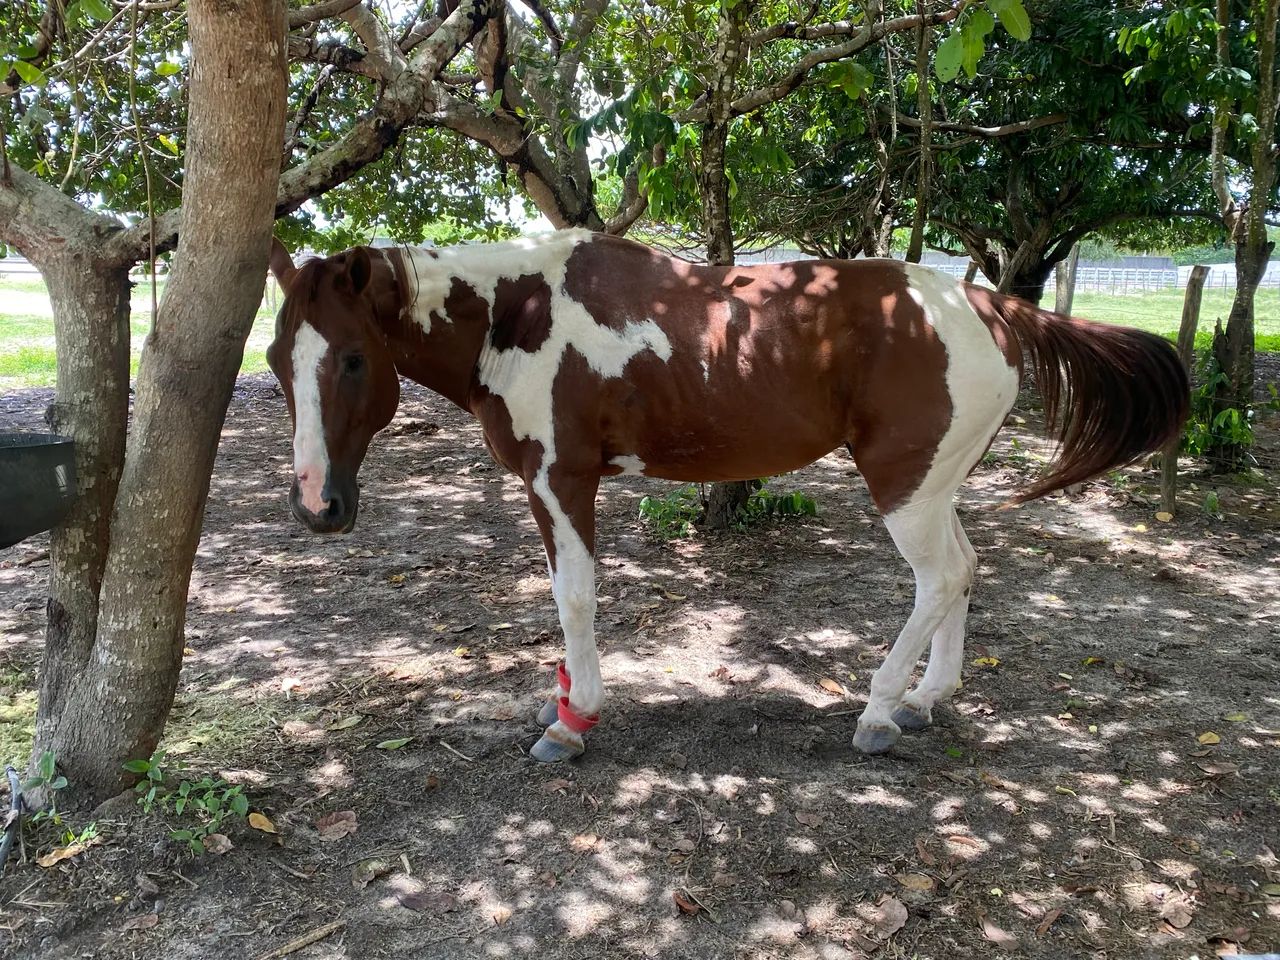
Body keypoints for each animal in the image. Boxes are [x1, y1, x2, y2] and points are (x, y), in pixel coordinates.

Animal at [264, 230, 1188, 762]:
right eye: (276, 358)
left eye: (352, 358)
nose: (317, 505)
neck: (516, 313)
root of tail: (987, 305)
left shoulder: (561, 479)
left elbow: (575, 595)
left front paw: (574, 720)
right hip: (934, 487)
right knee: (964, 570)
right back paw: (929, 698)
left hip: (904, 490)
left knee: (939, 580)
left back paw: (879, 712)